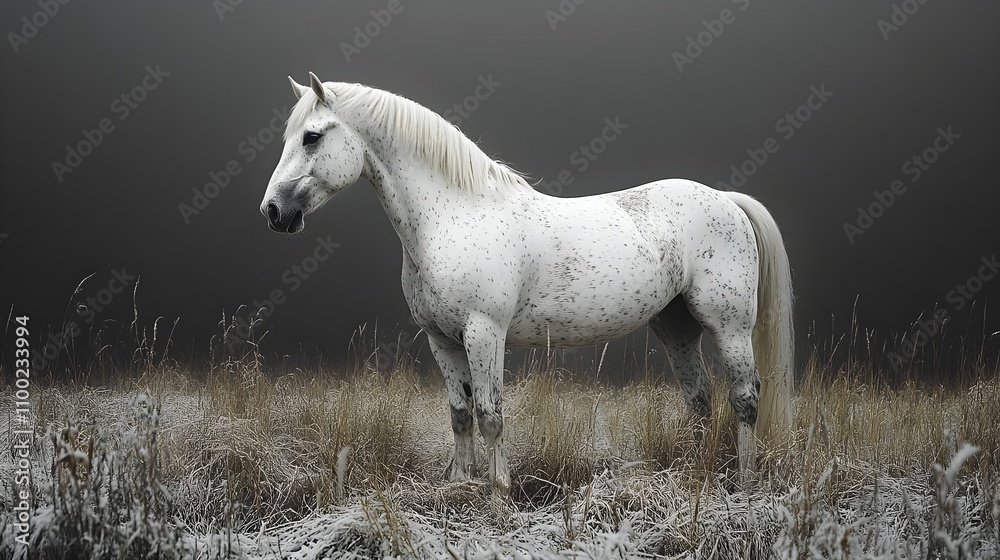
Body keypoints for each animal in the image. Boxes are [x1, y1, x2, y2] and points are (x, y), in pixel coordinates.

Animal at [260, 73, 795, 495]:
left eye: (311, 137)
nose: (274, 212)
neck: (454, 215)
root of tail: (725, 199)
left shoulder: (484, 333)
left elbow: (490, 415)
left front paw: (498, 495)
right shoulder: (441, 340)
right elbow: (459, 413)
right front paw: (460, 485)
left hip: (728, 325)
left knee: (745, 397)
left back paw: (745, 484)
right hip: (676, 328)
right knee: (700, 401)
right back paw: (691, 475)